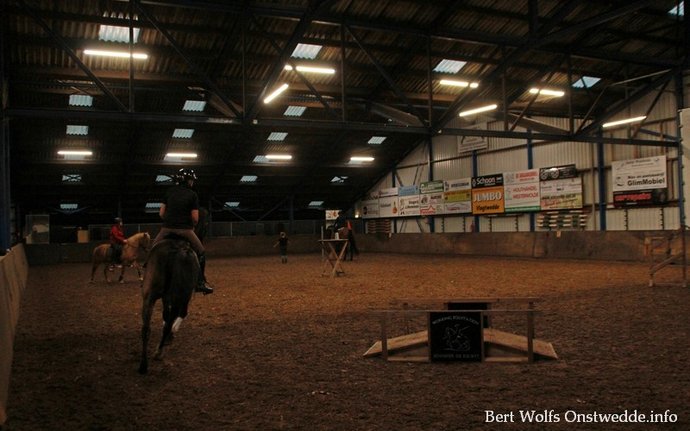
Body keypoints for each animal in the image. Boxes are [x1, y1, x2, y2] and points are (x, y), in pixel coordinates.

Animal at [138, 237, 199, 374]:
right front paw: (171, 332)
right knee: (174, 317)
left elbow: (167, 316)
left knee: (146, 328)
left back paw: (144, 364)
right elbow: (170, 316)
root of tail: (177, 249)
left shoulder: (165, 298)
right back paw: (159, 351)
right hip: (182, 295)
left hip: (149, 297)